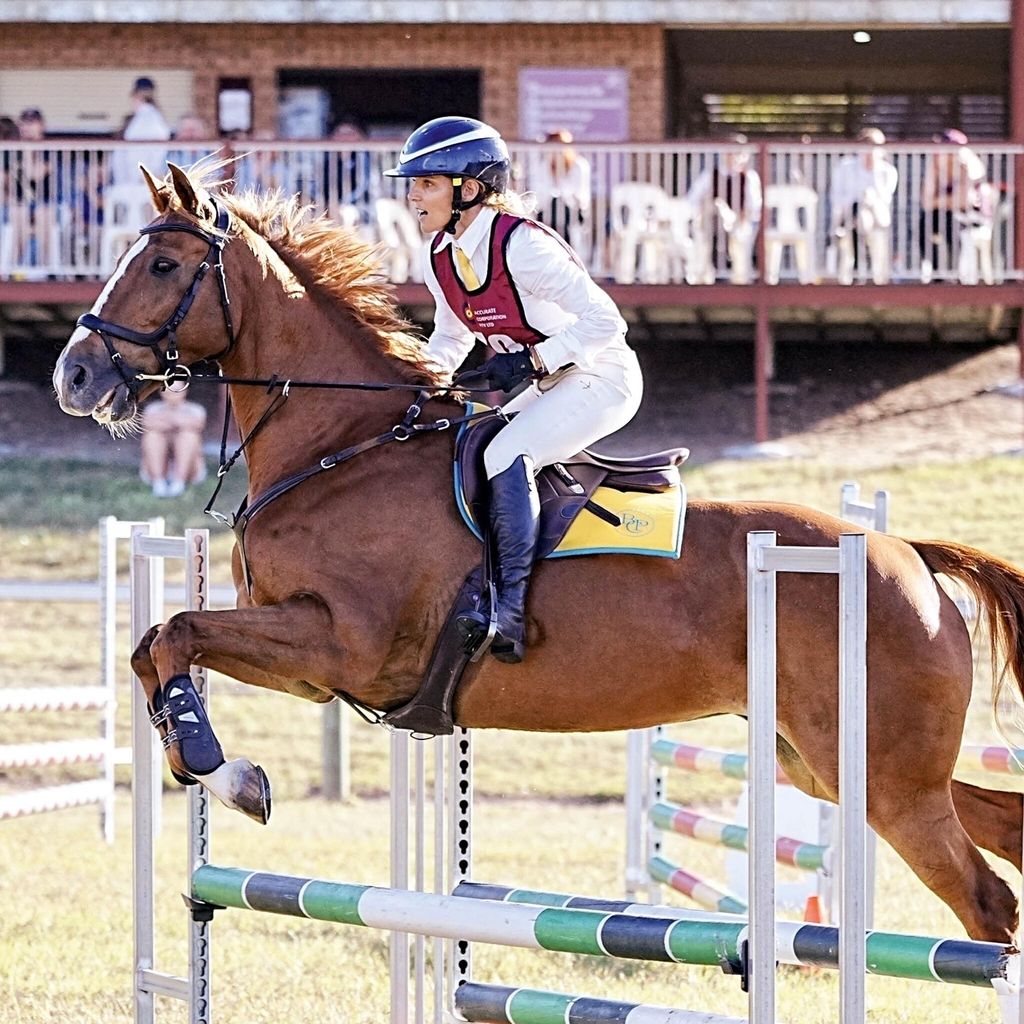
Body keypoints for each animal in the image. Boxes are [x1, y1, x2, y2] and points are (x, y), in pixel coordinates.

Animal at [54, 165, 1024, 942]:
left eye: (164, 266)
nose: (75, 376)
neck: (341, 447)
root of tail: (907, 556)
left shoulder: (342, 648)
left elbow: (177, 631)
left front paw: (220, 767)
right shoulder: (309, 662)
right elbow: (155, 643)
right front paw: (215, 766)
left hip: (882, 777)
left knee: (985, 901)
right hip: (830, 765)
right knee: (996, 828)